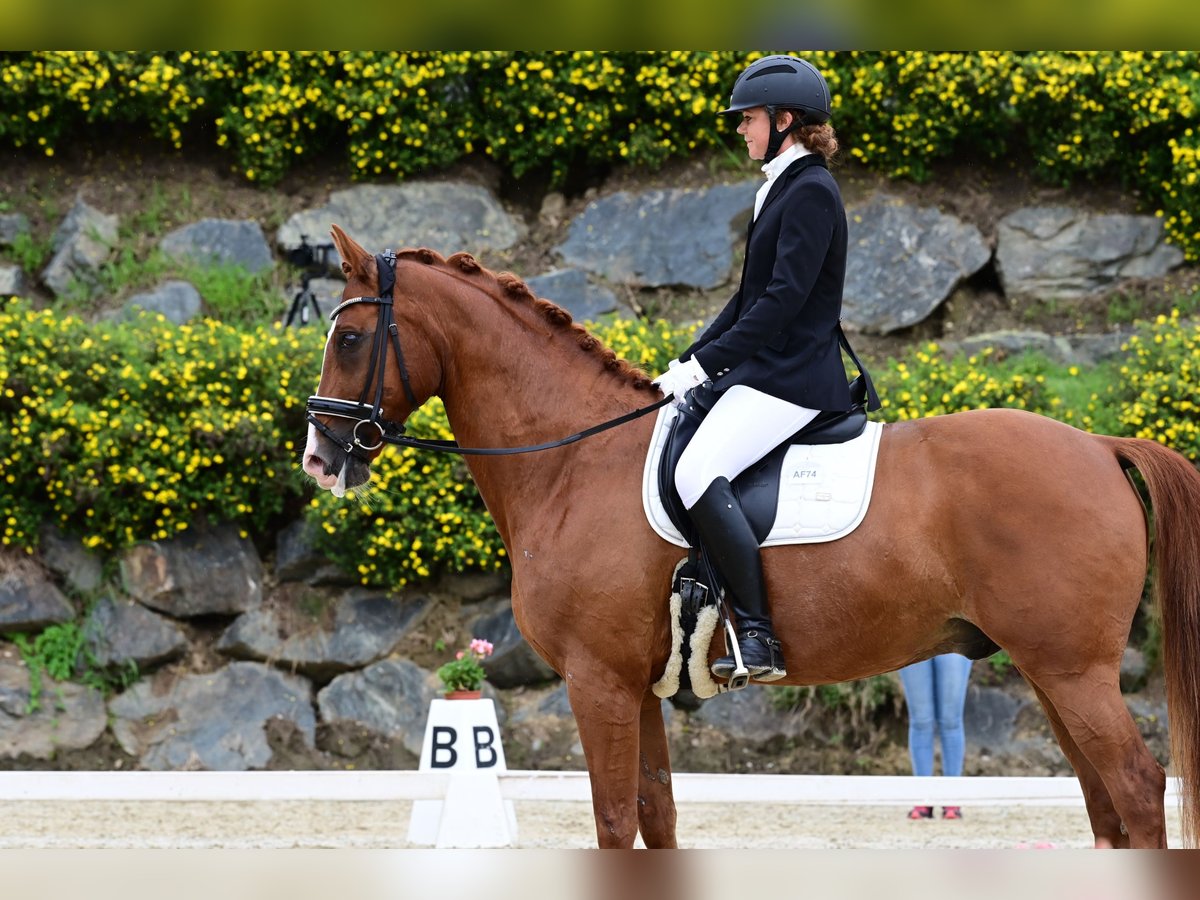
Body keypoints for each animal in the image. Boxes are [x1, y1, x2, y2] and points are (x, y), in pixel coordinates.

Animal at [302, 226, 1200, 854]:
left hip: (1071, 671)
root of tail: (1099, 445)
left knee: (1135, 784)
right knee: (1106, 806)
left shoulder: (597, 683)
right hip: (1050, 672)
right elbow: (656, 819)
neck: (573, 459)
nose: (319, 459)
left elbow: (613, 823)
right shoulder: (637, 688)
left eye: (349, 339)